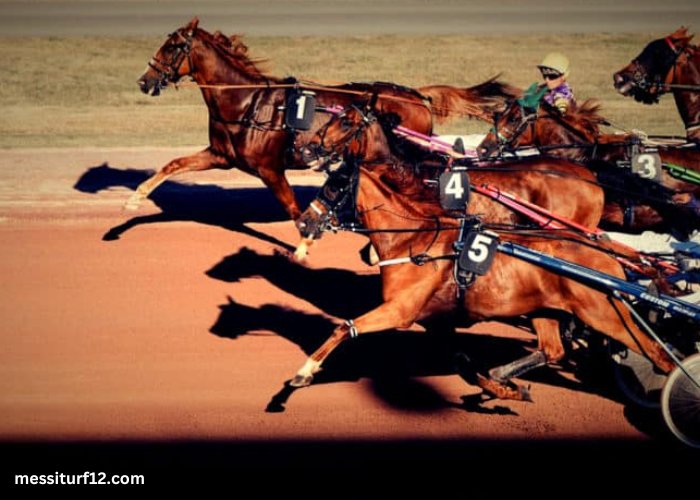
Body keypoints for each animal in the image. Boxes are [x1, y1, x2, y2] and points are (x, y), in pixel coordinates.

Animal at [134, 17, 516, 219]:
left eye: (171, 47)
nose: (144, 80)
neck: (247, 102)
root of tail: (416, 95)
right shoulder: (221, 156)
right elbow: (173, 164)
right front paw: (135, 198)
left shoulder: (269, 169)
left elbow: (293, 209)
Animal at [288, 156, 676, 398]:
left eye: (334, 187)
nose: (304, 222)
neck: (413, 240)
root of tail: (601, 249)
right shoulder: (438, 318)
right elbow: (458, 357)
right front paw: (496, 384)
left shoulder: (399, 311)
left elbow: (343, 328)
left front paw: (305, 371)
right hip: (546, 309)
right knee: (552, 349)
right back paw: (503, 375)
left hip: (605, 313)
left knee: (658, 352)